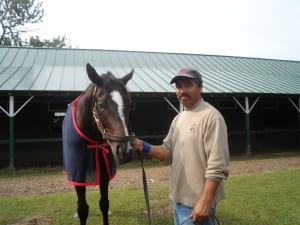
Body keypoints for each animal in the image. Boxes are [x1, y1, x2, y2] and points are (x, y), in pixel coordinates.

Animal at [62, 63, 134, 225]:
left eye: (129, 103)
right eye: (101, 104)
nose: (124, 152)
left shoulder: (105, 173)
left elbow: (104, 203)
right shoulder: (79, 174)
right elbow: (83, 208)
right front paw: (79, 212)